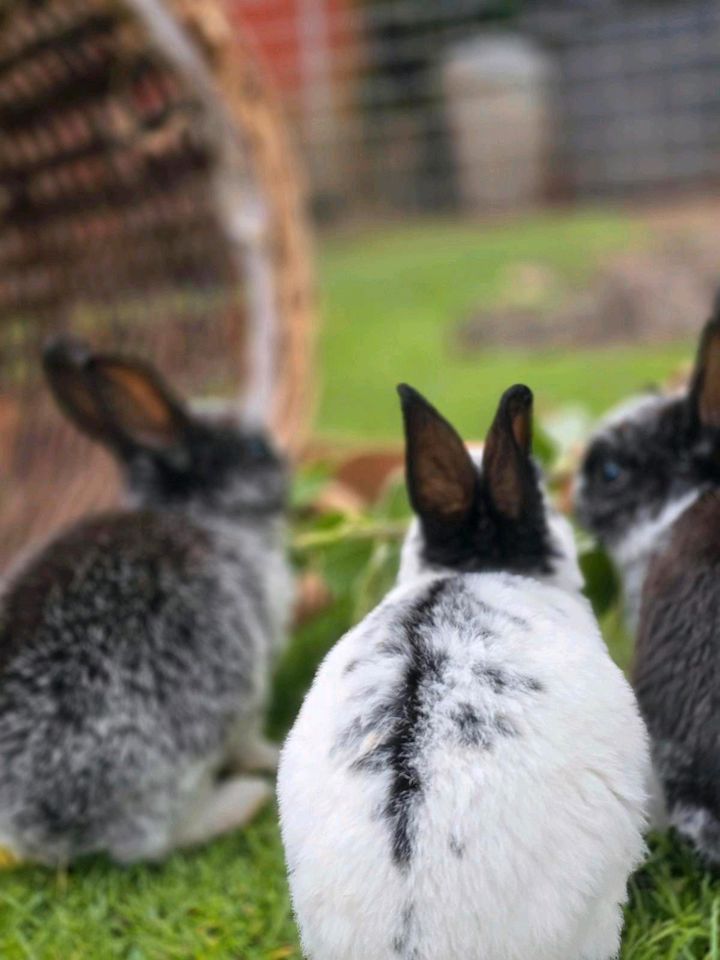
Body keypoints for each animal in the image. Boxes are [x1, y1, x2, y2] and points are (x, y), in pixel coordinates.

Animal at [0, 342, 296, 868]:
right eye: (256, 450)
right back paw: (242, 798)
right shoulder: (251, 684)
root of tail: (41, 826)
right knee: (153, 842)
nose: (288, 468)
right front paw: (269, 753)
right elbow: (249, 738)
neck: (202, 514)